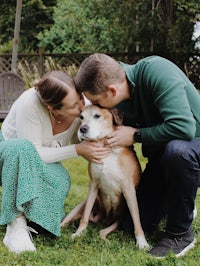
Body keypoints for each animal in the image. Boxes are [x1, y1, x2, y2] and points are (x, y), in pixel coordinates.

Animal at [61, 104, 148, 249]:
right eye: (81, 117)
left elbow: (137, 220)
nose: (82, 129)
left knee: (102, 232)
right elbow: (84, 217)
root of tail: (103, 220)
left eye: (97, 115)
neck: (105, 147)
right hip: (79, 207)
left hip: (119, 220)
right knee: (65, 222)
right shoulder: (93, 185)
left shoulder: (129, 189)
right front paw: (79, 233)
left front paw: (142, 242)